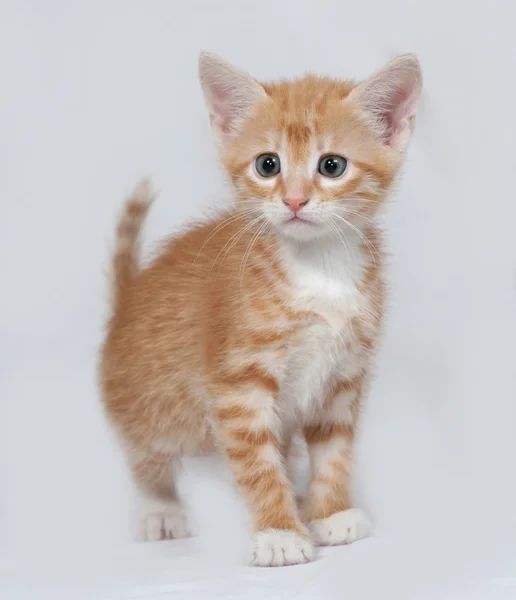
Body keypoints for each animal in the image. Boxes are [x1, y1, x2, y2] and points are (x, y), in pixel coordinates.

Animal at [99, 52, 422, 568]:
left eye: (332, 166)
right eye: (267, 165)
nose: (293, 200)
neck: (318, 268)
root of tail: (127, 297)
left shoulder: (344, 374)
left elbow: (334, 449)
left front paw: (331, 512)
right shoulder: (239, 384)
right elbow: (256, 463)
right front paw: (279, 533)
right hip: (151, 403)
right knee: (147, 452)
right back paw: (160, 507)